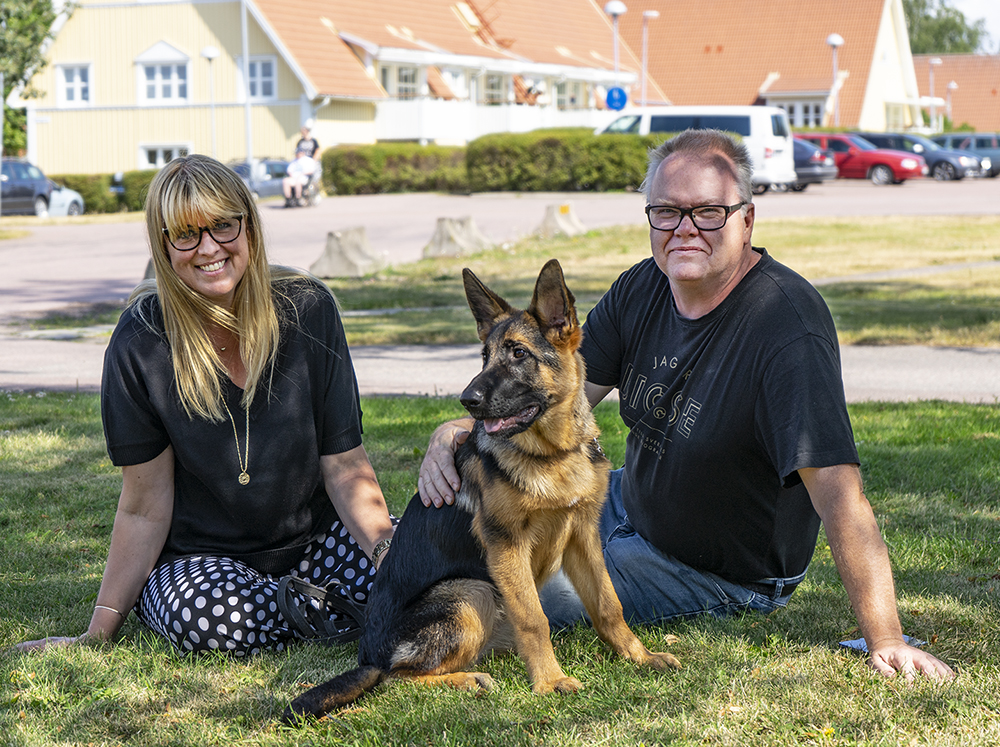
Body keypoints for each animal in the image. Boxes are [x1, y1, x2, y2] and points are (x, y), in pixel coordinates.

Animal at [286, 262, 684, 724]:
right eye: (484, 356)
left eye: (519, 354)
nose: (467, 400)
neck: (551, 454)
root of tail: (369, 654)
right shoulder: (505, 545)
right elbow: (535, 619)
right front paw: (550, 682)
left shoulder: (582, 538)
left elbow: (608, 605)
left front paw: (641, 657)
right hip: (470, 592)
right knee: (395, 677)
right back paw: (465, 680)